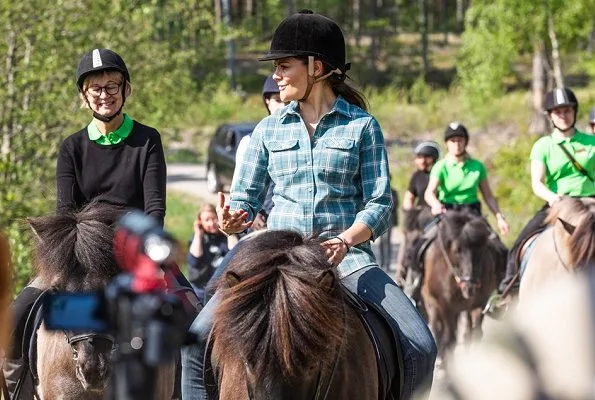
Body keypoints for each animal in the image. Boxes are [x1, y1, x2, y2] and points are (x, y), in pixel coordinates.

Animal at [422, 211, 500, 358]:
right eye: (456, 250)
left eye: (482, 249)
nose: (470, 288)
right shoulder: (445, 307)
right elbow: (449, 339)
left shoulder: (479, 304)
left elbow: (476, 334)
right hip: (433, 303)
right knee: (437, 329)